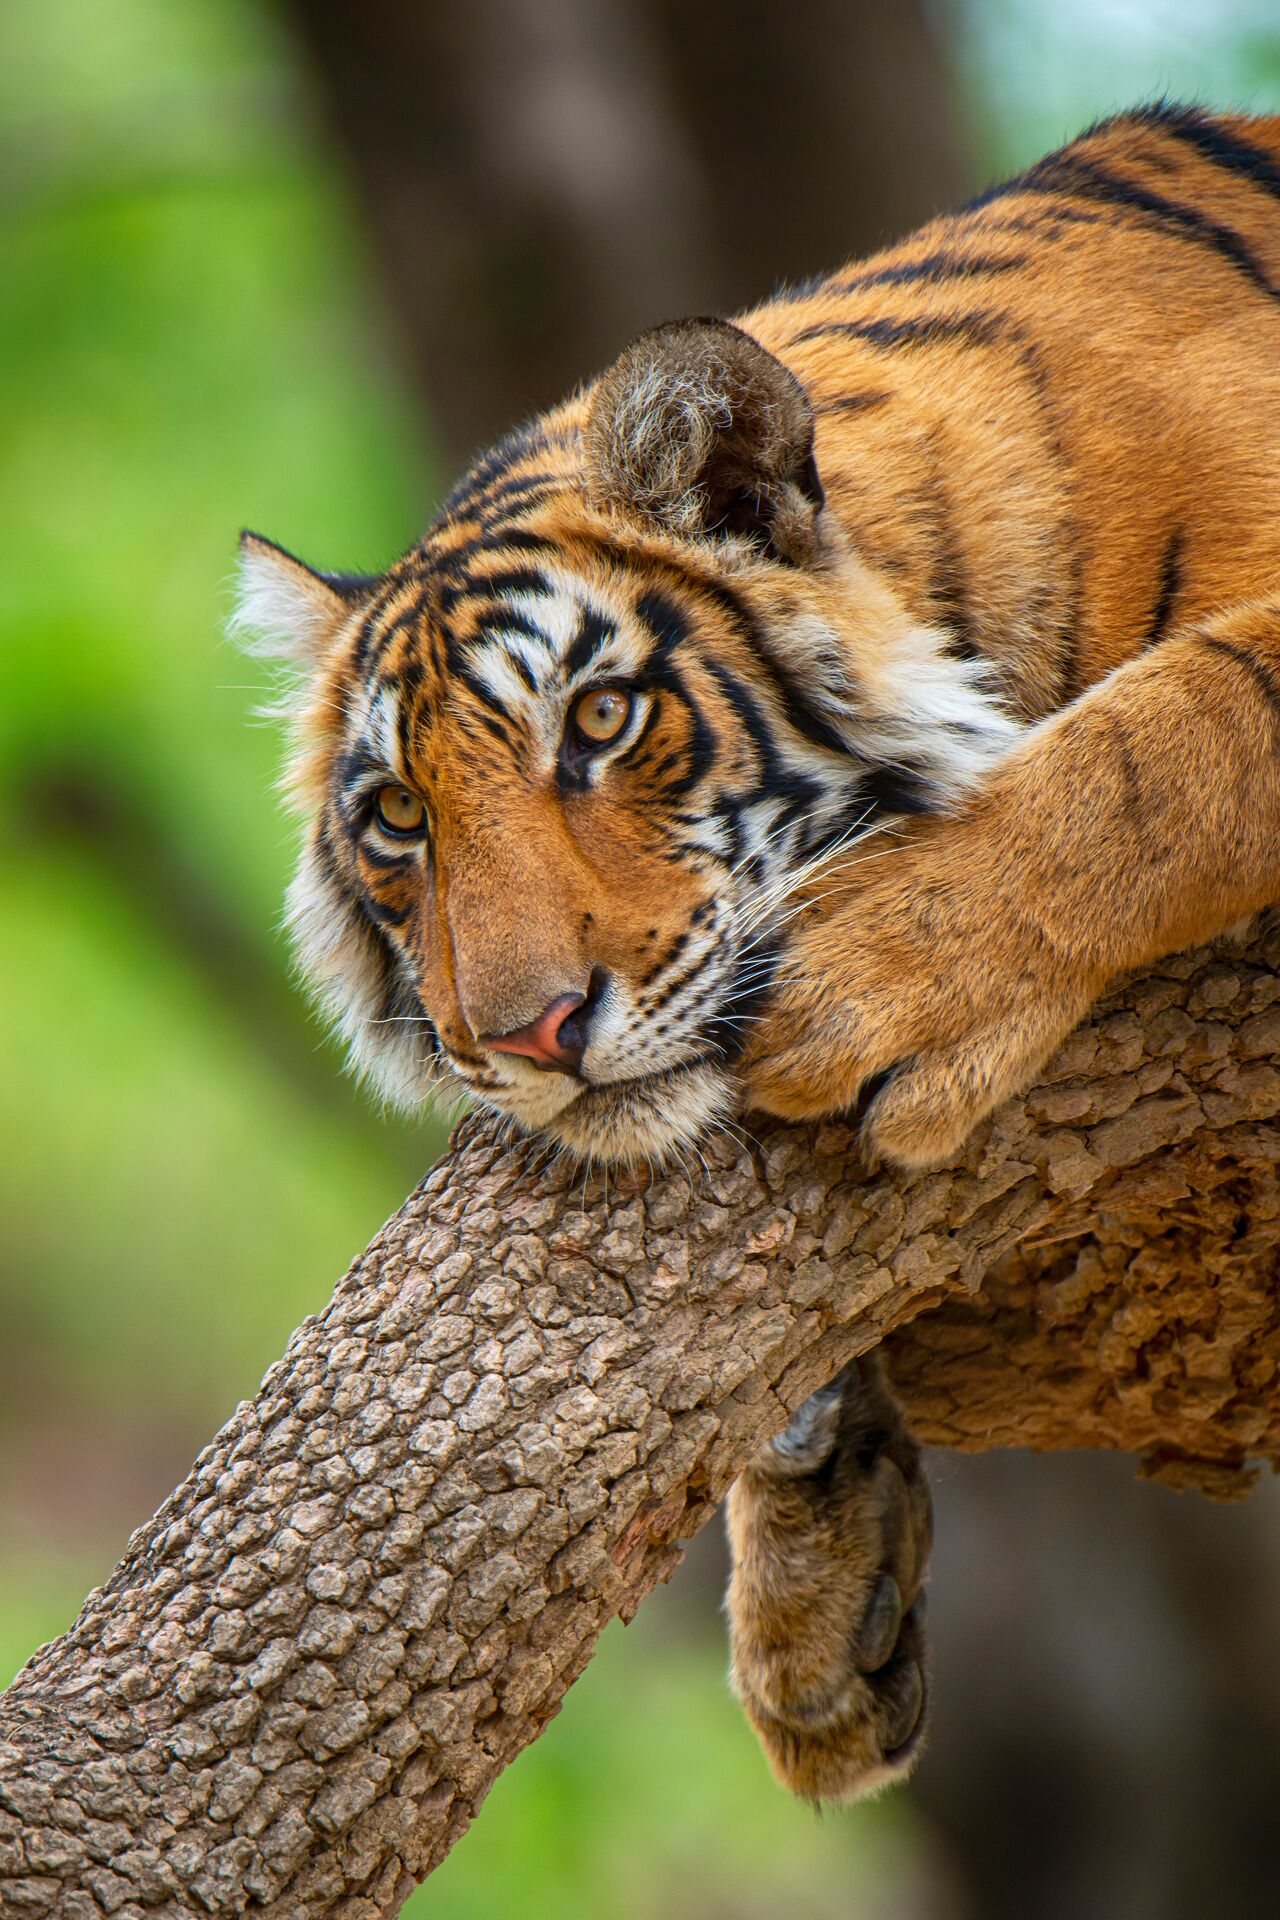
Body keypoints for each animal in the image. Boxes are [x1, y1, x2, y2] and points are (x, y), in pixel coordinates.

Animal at [234, 105, 1280, 1803]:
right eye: (397, 816)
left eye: (600, 719)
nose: (523, 1036)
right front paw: (812, 1623)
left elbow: (1177, 737)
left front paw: (873, 982)